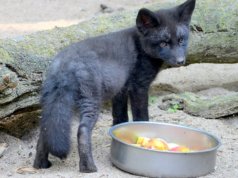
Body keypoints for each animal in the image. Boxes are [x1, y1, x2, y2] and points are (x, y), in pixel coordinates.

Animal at [33, 0, 196, 172]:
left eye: (181, 40)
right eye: (163, 43)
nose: (180, 61)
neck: (140, 46)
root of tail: (64, 63)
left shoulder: (121, 90)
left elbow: (120, 117)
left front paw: (118, 134)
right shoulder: (139, 87)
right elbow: (141, 117)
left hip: (56, 104)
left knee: (45, 131)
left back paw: (40, 164)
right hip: (91, 101)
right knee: (82, 131)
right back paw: (88, 167)